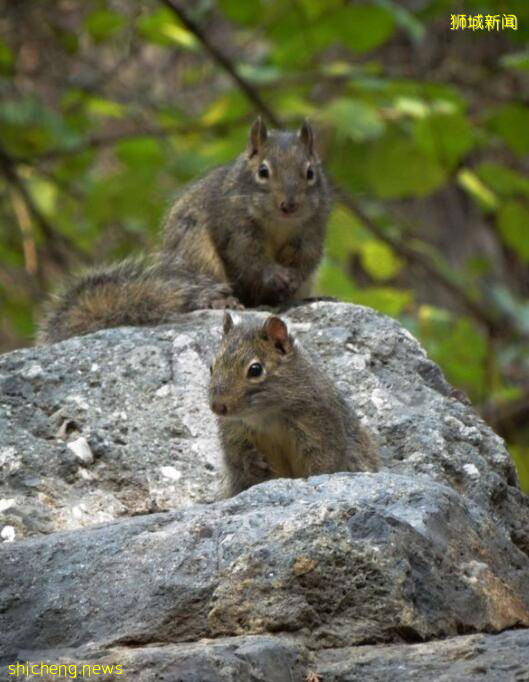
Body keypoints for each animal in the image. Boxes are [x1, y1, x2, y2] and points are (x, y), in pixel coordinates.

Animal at [38, 115, 330, 346]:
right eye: (263, 171)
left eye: (311, 173)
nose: (289, 205)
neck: (280, 224)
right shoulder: (234, 227)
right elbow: (248, 259)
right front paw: (275, 275)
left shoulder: (311, 233)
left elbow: (306, 261)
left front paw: (291, 280)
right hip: (197, 255)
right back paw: (223, 302)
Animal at [208, 310, 378, 496]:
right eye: (211, 367)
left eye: (255, 370)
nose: (217, 407)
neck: (265, 416)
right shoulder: (233, 430)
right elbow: (235, 456)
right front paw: (251, 461)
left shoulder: (320, 427)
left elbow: (324, 463)